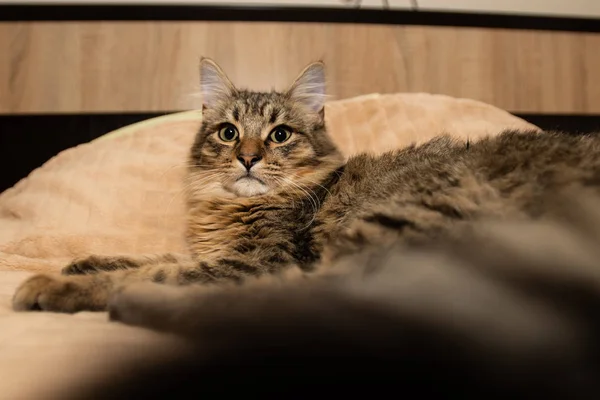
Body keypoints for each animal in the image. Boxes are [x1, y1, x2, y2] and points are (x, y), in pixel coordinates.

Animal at [10, 58, 600, 396]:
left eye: (279, 135)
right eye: (228, 133)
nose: (247, 158)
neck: (227, 208)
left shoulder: (256, 260)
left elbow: (157, 269)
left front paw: (56, 282)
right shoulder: (212, 251)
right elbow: (151, 257)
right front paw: (82, 262)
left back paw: (126, 305)